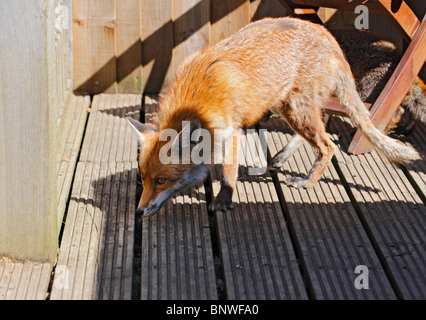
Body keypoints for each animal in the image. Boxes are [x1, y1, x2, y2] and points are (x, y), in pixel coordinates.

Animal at [127, 17, 420, 218]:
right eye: (143, 178)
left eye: (161, 180)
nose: (138, 212)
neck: (197, 98)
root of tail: (325, 33)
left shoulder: (232, 131)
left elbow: (228, 171)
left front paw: (224, 199)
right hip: (286, 106)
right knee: (320, 128)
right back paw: (282, 157)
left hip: (295, 110)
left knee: (327, 145)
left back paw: (307, 181)